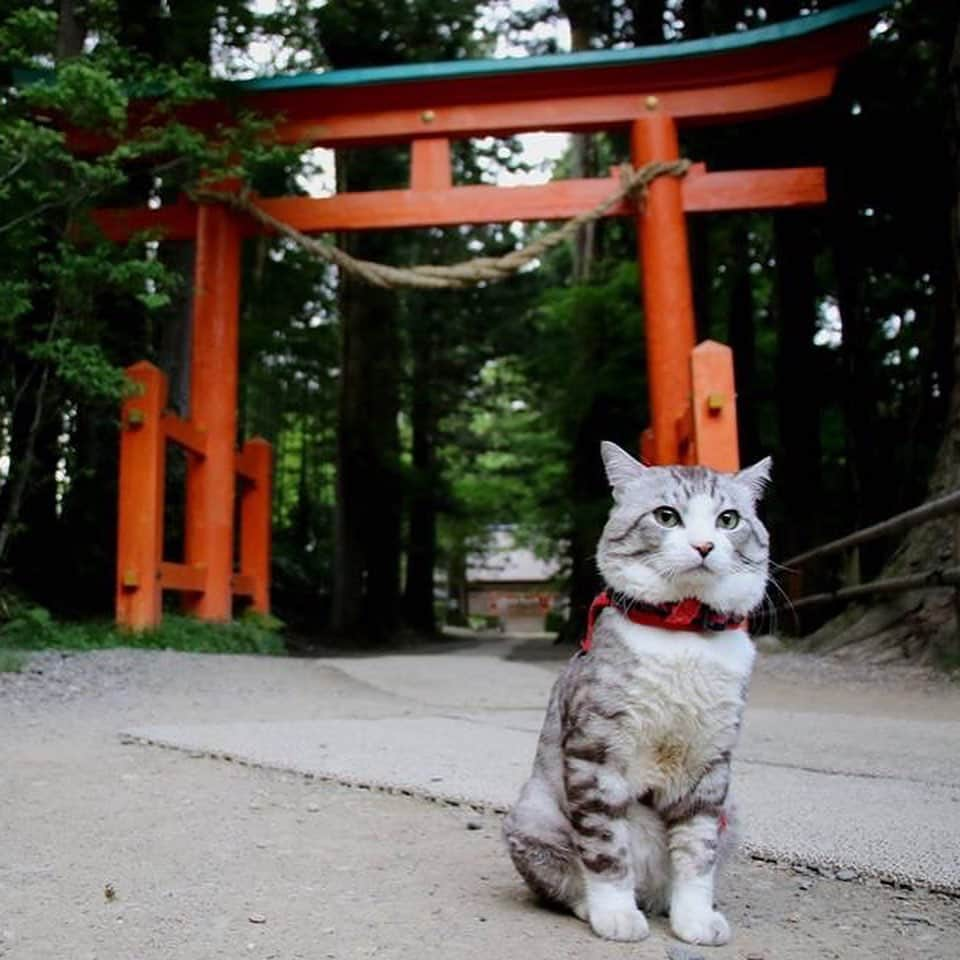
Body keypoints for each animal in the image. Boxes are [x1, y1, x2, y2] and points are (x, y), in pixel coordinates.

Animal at [502, 440, 772, 944]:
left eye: (729, 519)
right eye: (666, 516)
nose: (704, 545)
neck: (683, 634)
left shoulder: (711, 765)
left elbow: (697, 852)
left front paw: (695, 919)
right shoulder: (595, 751)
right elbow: (606, 848)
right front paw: (615, 915)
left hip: (735, 812)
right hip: (532, 819)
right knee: (569, 878)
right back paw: (601, 907)